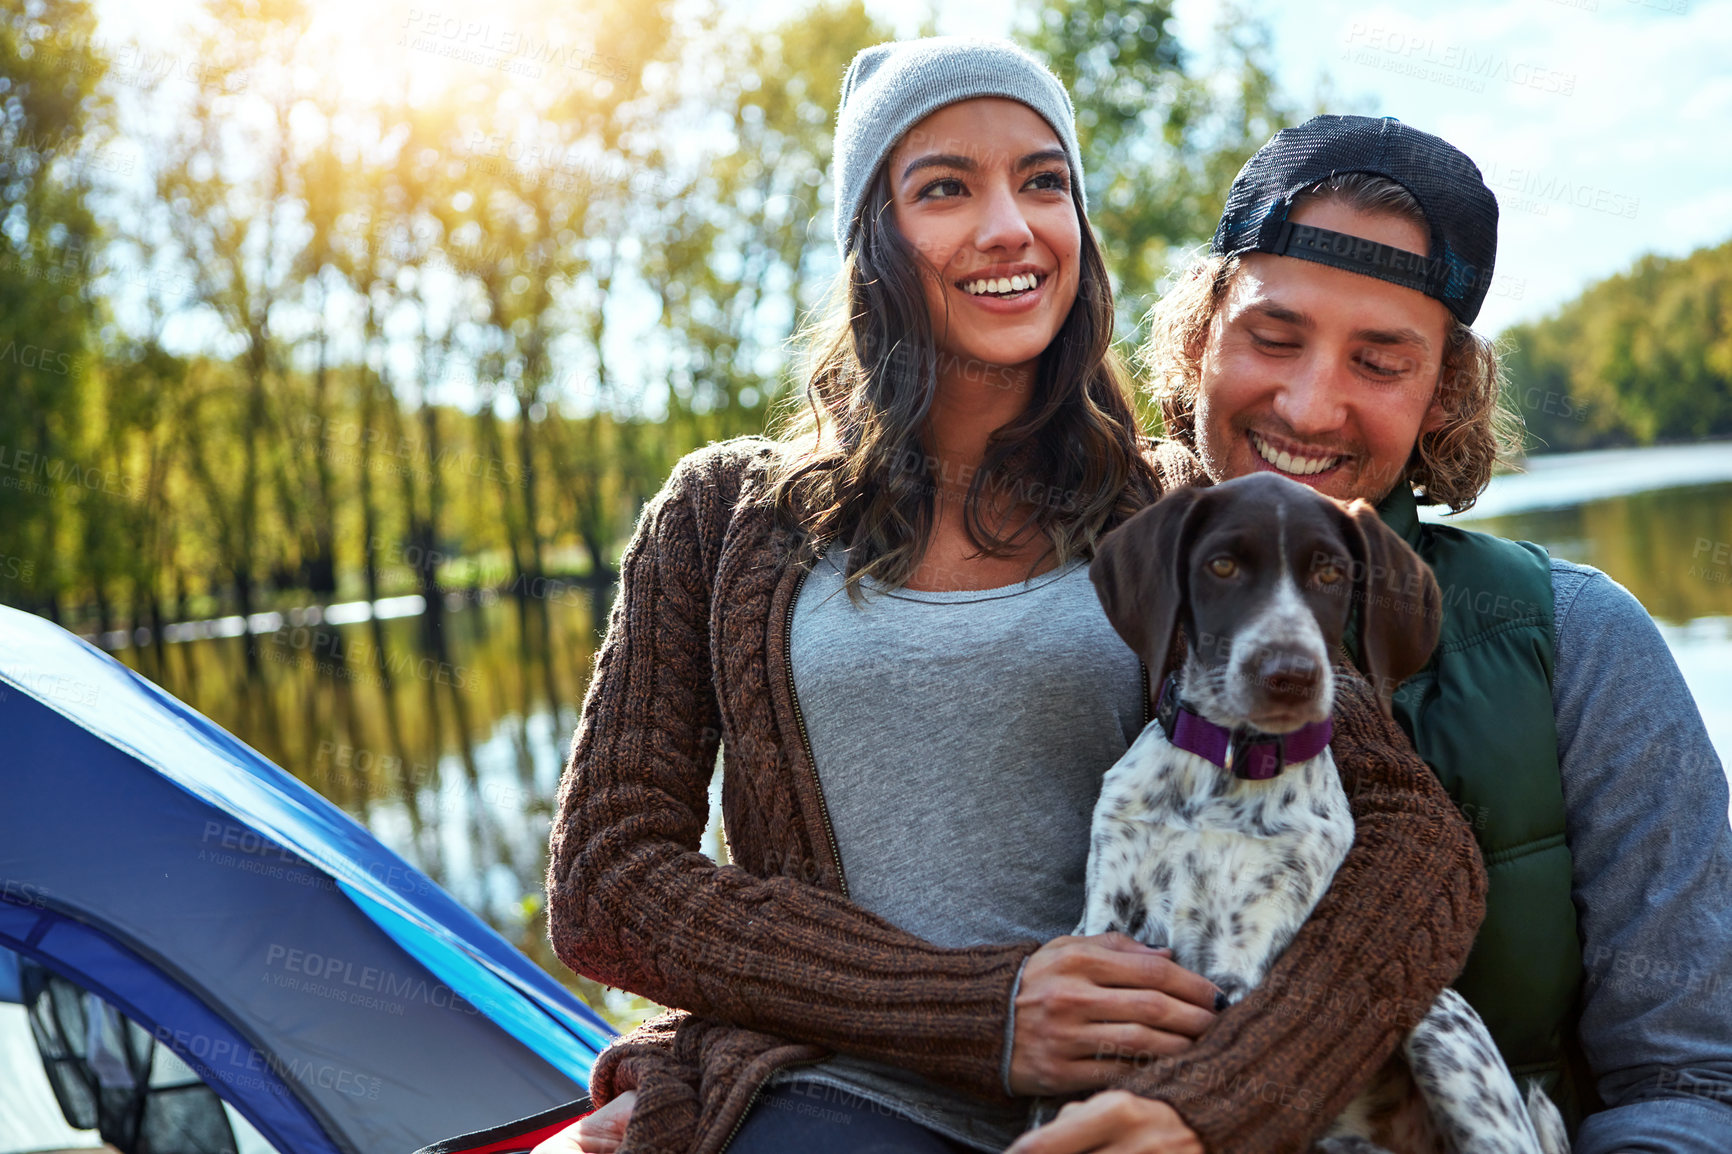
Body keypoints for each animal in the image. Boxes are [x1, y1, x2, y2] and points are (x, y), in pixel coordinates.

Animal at [1066, 471, 1572, 1150]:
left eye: (1331, 572)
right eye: (1222, 565)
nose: (1290, 674)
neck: (1229, 766)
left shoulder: (1241, 969)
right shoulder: (1109, 937)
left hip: (1443, 1024)